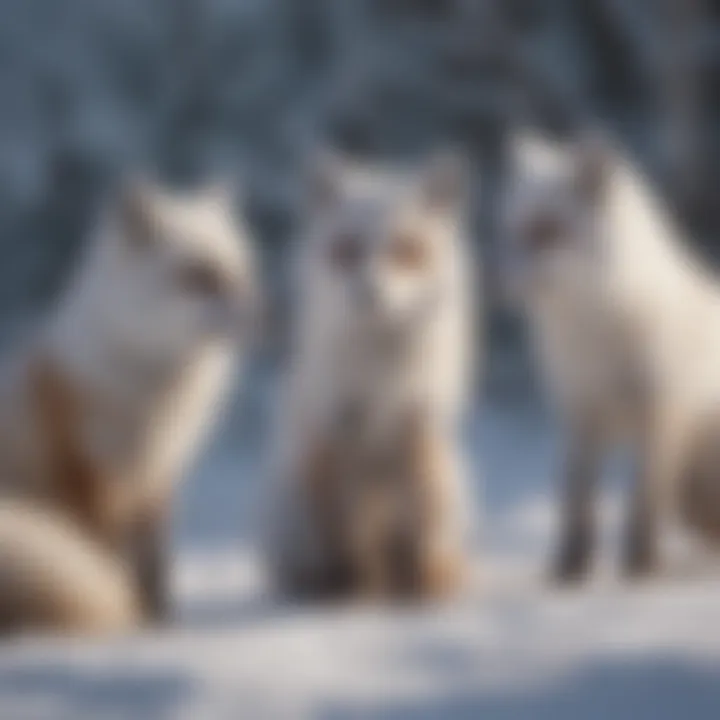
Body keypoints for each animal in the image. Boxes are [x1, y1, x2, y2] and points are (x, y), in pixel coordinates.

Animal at [264, 149, 478, 600]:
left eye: (406, 250)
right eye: (347, 249)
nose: (370, 291)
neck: (382, 381)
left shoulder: (417, 428)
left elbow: (419, 532)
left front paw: (421, 587)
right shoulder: (336, 433)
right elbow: (344, 538)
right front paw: (353, 587)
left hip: (449, 480)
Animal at [500, 131, 720, 580]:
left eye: (548, 231)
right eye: (513, 231)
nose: (499, 281)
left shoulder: (659, 417)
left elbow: (643, 506)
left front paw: (639, 566)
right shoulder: (580, 414)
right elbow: (576, 501)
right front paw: (569, 570)